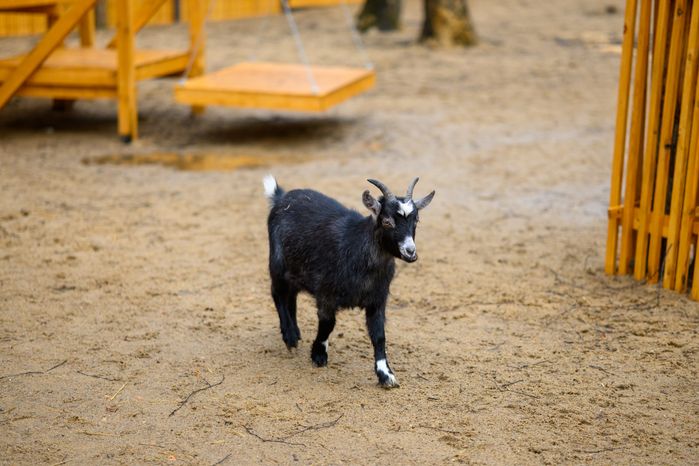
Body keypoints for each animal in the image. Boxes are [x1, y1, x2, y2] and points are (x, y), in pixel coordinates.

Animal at [264, 176, 435, 388]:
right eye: (387, 221)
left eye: (416, 220)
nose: (410, 252)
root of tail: (281, 198)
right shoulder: (326, 294)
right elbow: (328, 324)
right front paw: (318, 354)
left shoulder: (377, 300)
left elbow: (379, 336)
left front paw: (386, 375)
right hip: (277, 264)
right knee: (277, 293)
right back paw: (289, 337)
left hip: (295, 270)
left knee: (291, 297)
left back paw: (295, 332)